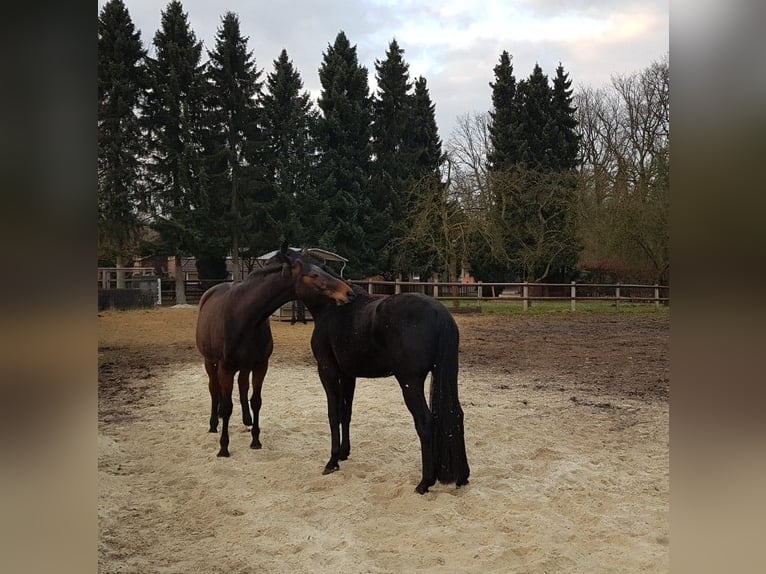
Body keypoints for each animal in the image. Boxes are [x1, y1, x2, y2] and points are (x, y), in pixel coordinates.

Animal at [196, 248, 356, 460]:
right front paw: (224, 447)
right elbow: (227, 406)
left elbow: (256, 401)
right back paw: (214, 423)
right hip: (210, 362)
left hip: (244, 366)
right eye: (314, 274)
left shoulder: (260, 366)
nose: (349, 292)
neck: (244, 317)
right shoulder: (226, 367)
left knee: (242, 387)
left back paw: (246, 421)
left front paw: (256, 440)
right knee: (214, 389)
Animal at [292, 260, 472, 496]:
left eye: (314, 274)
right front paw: (344, 453)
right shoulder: (348, 376)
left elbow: (333, 414)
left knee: (425, 421)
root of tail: (439, 312)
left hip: (409, 382)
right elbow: (345, 413)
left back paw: (424, 483)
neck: (332, 310)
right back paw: (462, 477)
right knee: (456, 415)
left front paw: (332, 461)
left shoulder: (327, 371)